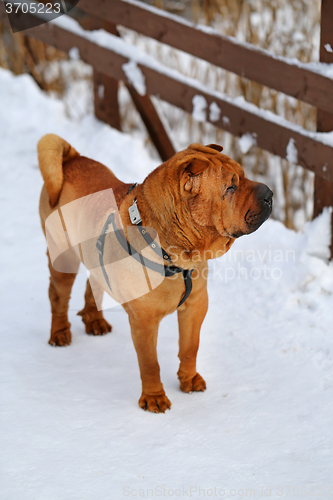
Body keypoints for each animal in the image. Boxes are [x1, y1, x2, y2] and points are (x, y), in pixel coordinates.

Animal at [38, 132, 272, 410]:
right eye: (230, 188)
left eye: (244, 175)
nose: (270, 193)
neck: (174, 256)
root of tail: (71, 158)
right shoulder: (144, 320)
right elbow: (150, 363)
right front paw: (154, 398)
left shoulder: (196, 304)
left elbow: (190, 346)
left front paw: (189, 380)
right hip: (63, 258)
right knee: (57, 296)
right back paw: (59, 333)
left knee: (93, 281)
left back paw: (94, 319)